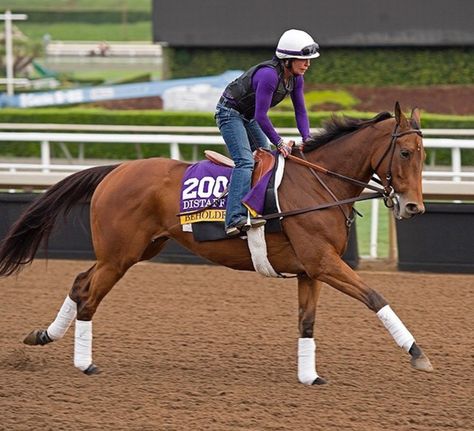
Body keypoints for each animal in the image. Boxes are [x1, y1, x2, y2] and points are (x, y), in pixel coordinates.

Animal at [0, 104, 432, 384]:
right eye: (405, 152)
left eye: (424, 156)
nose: (414, 207)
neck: (318, 183)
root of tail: (116, 169)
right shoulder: (323, 262)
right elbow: (375, 297)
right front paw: (417, 354)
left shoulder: (310, 270)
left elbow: (306, 322)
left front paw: (310, 376)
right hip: (119, 255)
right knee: (89, 297)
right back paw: (84, 364)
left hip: (134, 251)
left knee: (79, 283)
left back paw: (43, 336)